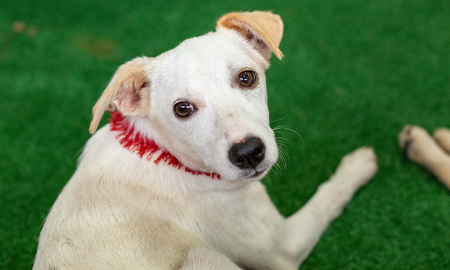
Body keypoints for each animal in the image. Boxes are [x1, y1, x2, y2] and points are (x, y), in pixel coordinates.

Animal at [33, 11, 378, 268]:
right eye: (182, 109)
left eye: (247, 77)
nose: (249, 153)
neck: (164, 155)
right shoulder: (284, 245)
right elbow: (328, 195)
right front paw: (357, 165)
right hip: (207, 257)